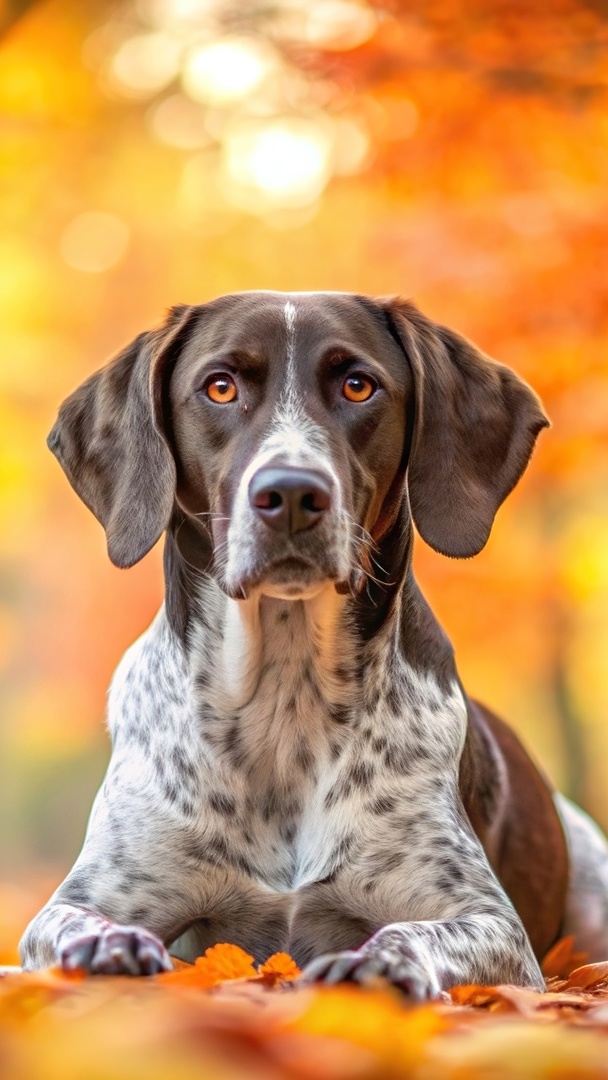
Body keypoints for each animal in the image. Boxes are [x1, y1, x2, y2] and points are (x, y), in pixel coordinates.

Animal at [19, 289, 608, 993]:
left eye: (358, 385)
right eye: (220, 387)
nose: (293, 493)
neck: (286, 695)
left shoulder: (492, 926)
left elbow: (414, 933)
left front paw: (379, 960)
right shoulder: (83, 900)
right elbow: (74, 923)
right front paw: (108, 946)